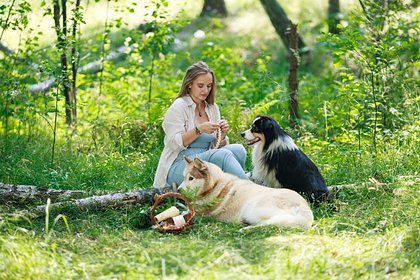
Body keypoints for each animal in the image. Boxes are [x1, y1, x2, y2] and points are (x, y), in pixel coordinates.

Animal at [176, 156, 312, 229]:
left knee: (267, 223)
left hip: (252, 209)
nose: (178, 190)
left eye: (191, 178)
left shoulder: (201, 213)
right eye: (184, 177)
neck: (214, 185)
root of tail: (303, 206)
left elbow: (185, 212)